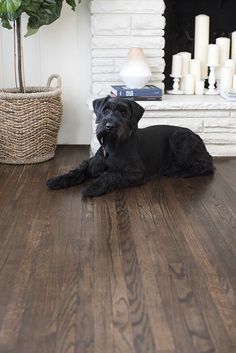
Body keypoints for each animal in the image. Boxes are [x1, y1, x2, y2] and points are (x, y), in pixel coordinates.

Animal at [46, 95, 214, 197]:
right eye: (106, 110)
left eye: (124, 112)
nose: (109, 126)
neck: (112, 146)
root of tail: (200, 140)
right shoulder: (92, 164)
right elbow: (77, 170)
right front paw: (58, 180)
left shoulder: (137, 173)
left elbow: (111, 175)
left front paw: (93, 186)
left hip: (179, 138)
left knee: (205, 166)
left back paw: (176, 171)